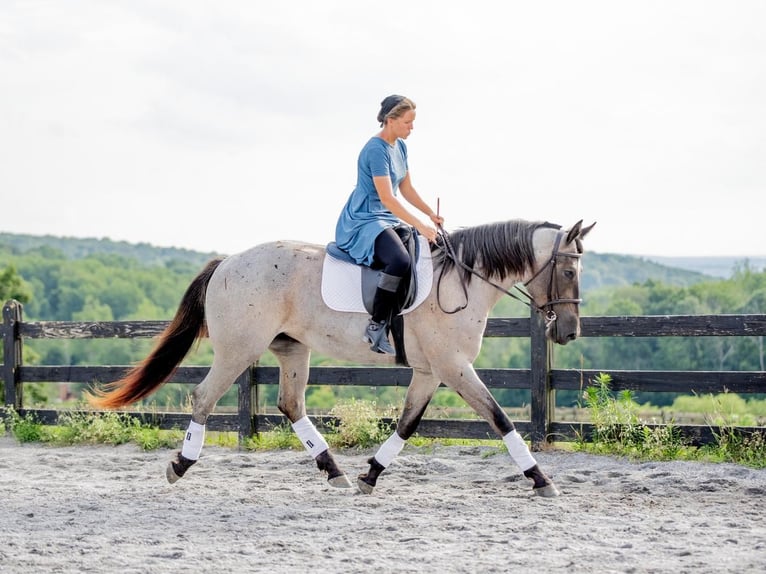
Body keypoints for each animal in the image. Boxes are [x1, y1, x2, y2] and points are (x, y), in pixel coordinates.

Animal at [88, 220, 592, 500]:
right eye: (569, 270)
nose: (567, 332)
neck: (460, 282)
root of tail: (227, 262)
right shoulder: (453, 367)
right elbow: (500, 418)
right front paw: (540, 478)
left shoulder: (431, 372)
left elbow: (407, 424)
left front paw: (371, 474)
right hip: (239, 349)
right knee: (204, 397)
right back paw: (180, 465)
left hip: (292, 348)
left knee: (291, 405)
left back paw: (335, 472)